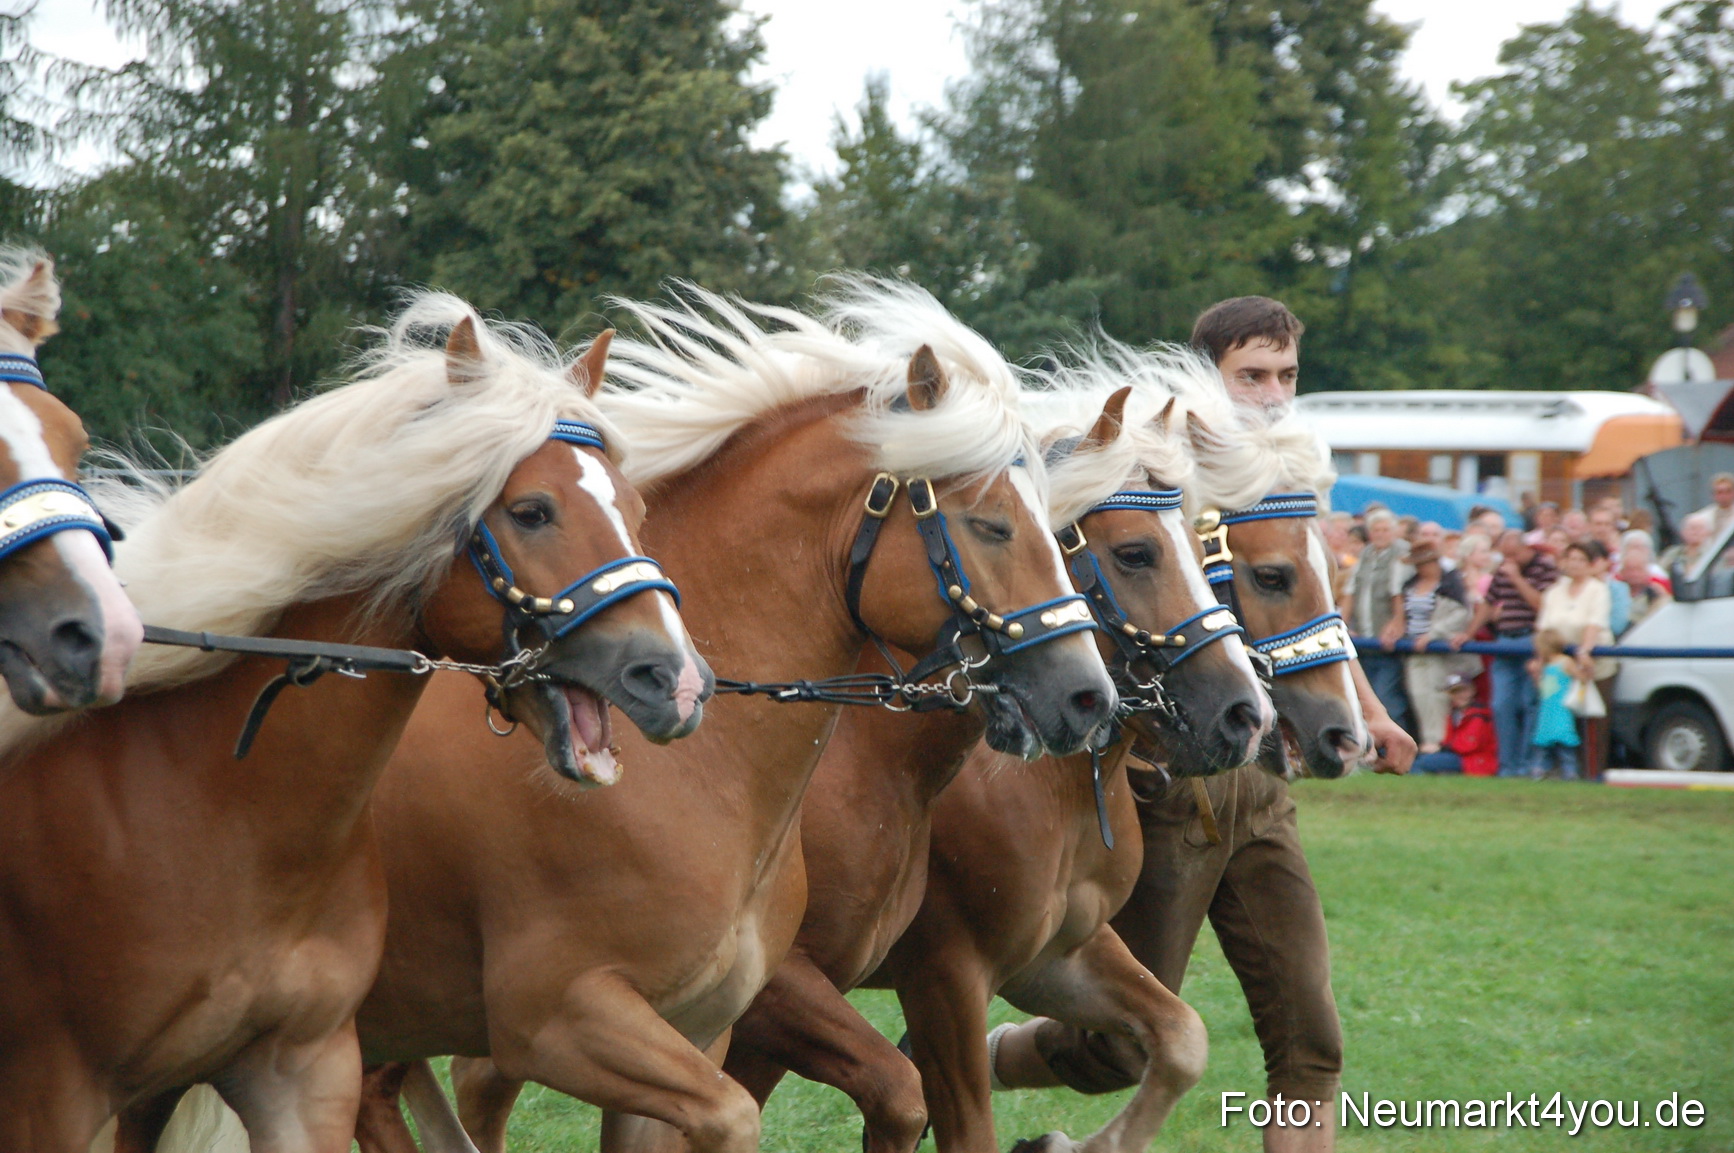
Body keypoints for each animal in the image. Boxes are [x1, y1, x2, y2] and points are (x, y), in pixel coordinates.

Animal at [341, 278, 1117, 1153]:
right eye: (991, 523)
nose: (1089, 694)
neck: (692, 766)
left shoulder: (704, 1024)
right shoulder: (577, 1017)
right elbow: (869, 1092)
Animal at [712, 366, 1273, 1153]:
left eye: (1204, 554)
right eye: (1135, 553)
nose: (1246, 713)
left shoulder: (1052, 956)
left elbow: (1181, 1038)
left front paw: (1072, 1144)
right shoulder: (937, 976)